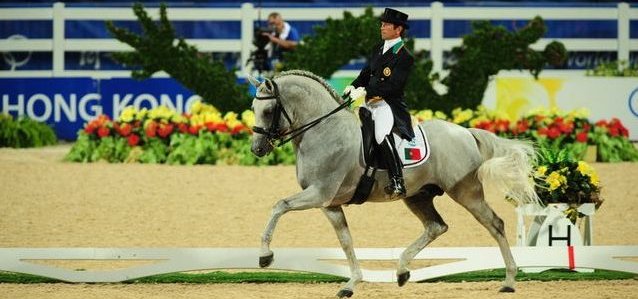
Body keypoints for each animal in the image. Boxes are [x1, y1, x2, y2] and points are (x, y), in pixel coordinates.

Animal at [248, 69, 544, 298]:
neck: (323, 131)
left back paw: (509, 281)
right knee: (436, 226)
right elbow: (345, 241)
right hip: (417, 196)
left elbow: (279, 205)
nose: (257, 149)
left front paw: (265, 256)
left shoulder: (319, 194)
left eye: (270, 110)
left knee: (495, 224)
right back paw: (401, 271)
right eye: (253, 109)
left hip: (466, 193)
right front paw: (351, 283)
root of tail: (465, 132)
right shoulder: (329, 203)